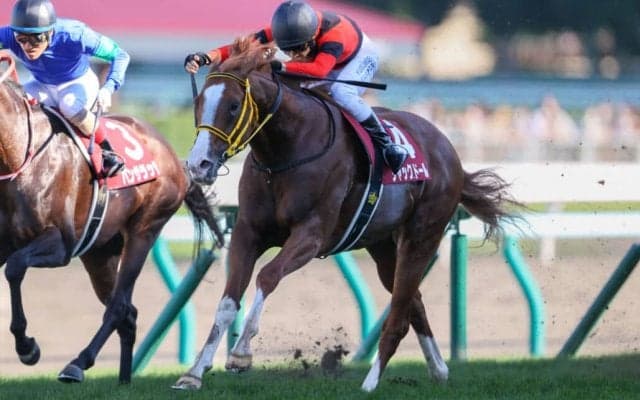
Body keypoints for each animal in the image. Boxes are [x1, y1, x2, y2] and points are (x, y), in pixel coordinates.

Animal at [0, 53, 223, 384]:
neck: (19, 155)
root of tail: (176, 159)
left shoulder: (61, 244)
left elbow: (15, 267)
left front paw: (27, 347)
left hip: (144, 229)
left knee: (119, 307)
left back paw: (78, 363)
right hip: (99, 251)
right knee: (128, 312)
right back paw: (123, 380)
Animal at [175, 40, 518, 392]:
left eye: (232, 106)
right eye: (198, 104)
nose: (198, 164)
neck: (286, 149)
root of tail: (449, 151)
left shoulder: (311, 235)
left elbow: (268, 276)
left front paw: (241, 353)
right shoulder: (249, 232)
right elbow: (228, 301)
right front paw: (194, 373)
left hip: (422, 235)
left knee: (399, 315)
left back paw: (370, 383)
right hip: (382, 246)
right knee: (414, 302)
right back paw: (438, 369)